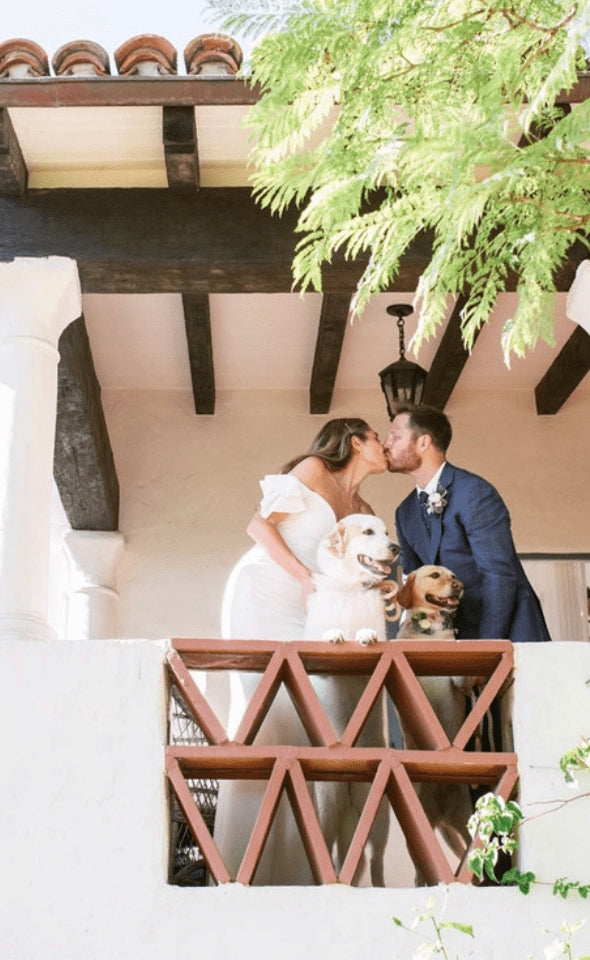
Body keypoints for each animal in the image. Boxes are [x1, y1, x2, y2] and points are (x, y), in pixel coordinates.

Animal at [303, 514, 399, 885]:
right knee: (333, 854)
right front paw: (334, 633)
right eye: (369, 532)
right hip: (327, 812)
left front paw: (365, 634)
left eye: (387, 532)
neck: (349, 590)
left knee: (375, 862)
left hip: (378, 819)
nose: (396, 548)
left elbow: (366, 633)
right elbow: (324, 634)